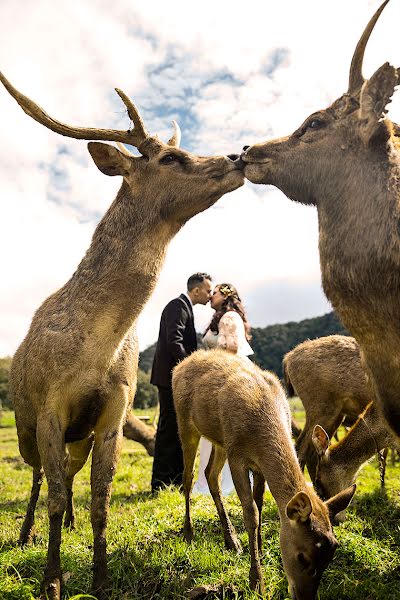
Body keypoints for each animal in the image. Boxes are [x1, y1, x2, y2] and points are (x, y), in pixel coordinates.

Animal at [0, 71, 244, 600]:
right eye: (169, 157)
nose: (236, 156)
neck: (97, 346)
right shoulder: (50, 407)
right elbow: (53, 493)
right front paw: (52, 579)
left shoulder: (115, 403)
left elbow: (100, 495)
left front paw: (100, 576)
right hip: (26, 426)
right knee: (38, 478)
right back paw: (26, 533)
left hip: (79, 434)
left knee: (68, 477)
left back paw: (69, 526)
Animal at [173, 350, 354, 596]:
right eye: (302, 556)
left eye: (331, 556)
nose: (304, 596)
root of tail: (181, 364)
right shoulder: (237, 457)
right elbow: (251, 513)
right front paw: (257, 581)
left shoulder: (256, 465)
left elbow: (259, 504)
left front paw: (257, 548)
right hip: (185, 422)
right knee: (188, 477)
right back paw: (188, 533)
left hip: (221, 441)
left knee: (210, 474)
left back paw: (231, 540)